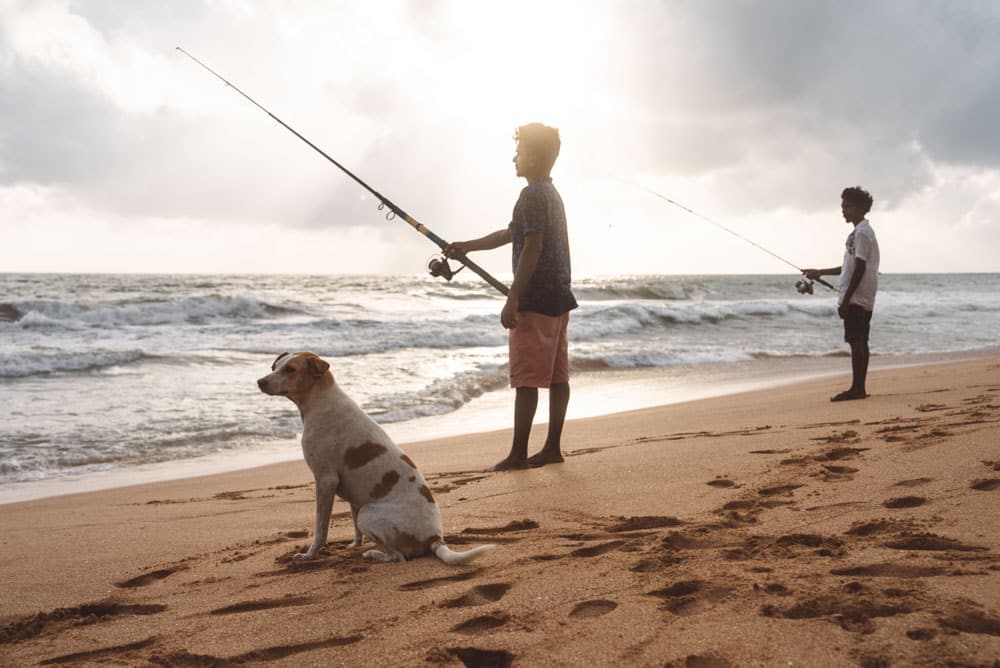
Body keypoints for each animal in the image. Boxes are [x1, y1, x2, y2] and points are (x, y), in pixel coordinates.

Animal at [256, 352, 494, 568]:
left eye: (290, 369)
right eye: (274, 366)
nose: (260, 381)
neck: (321, 401)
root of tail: (435, 538)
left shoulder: (325, 481)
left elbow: (320, 530)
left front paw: (310, 555)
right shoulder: (351, 496)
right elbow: (353, 527)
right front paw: (354, 544)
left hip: (367, 514)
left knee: (398, 557)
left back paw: (373, 555)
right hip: (364, 509)